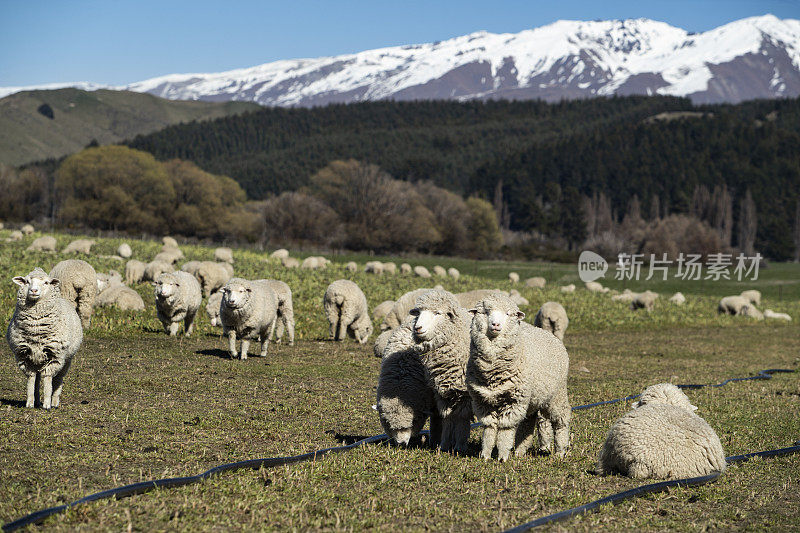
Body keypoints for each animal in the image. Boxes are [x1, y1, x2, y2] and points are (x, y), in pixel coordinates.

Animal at [5, 268, 82, 410]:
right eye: (27, 281)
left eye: (46, 282)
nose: (34, 290)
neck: (36, 330)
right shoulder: (25, 356)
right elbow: (31, 379)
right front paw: (30, 402)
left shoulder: (54, 356)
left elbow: (47, 379)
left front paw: (47, 404)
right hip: (38, 359)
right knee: (37, 378)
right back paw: (36, 401)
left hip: (66, 360)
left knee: (57, 380)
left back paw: (54, 401)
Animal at [398, 288, 472, 450]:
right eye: (418, 313)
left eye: (437, 313)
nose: (417, 328)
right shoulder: (443, 392)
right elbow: (448, 417)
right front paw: (444, 445)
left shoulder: (465, 393)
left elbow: (462, 418)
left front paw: (460, 446)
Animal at [466, 294, 572, 460]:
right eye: (485, 312)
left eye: (508, 314)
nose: (495, 324)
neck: (492, 371)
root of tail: (552, 337)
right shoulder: (482, 401)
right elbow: (489, 428)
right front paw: (485, 455)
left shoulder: (514, 401)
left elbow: (505, 429)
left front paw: (502, 456)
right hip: (532, 399)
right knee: (527, 424)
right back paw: (519, 452)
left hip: (556, 394)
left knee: (561, 419)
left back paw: (560, 451)